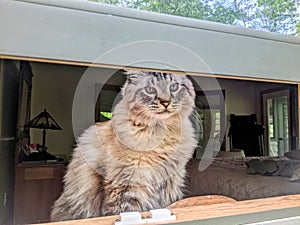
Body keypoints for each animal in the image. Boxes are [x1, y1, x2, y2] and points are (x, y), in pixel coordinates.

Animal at [50, 71, 198, 221]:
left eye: (173, 87)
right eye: (150, 90)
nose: (166, 102)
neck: (162, 132)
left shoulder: (171, 183)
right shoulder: (127, 185)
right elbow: (125, 213)